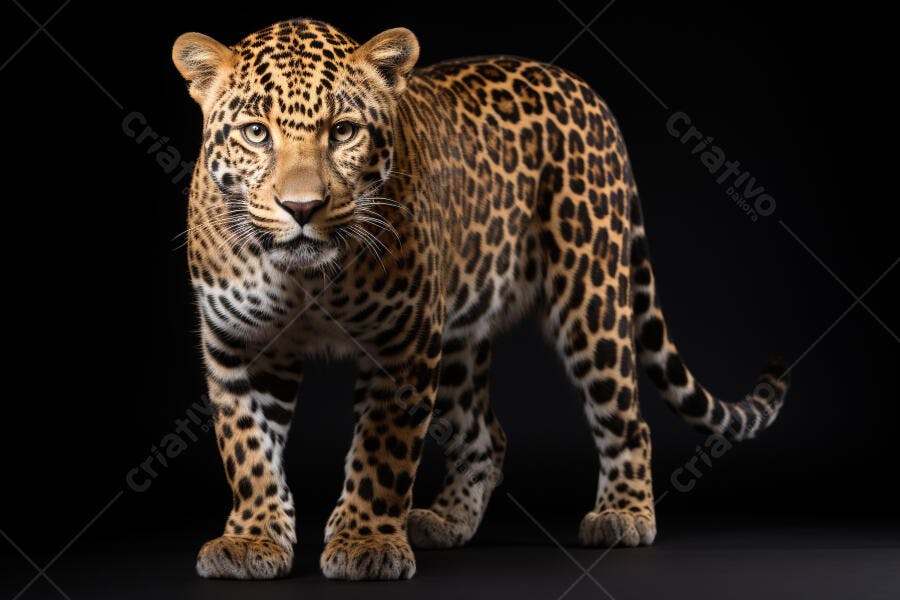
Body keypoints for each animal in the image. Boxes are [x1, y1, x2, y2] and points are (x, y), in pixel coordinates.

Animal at [171, 18, 789, 581]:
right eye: (256, 133)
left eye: (343, 131)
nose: (302, 208)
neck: (304, 277)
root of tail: (582, 88)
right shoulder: (243, 348)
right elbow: (248, 450)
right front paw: (252, 539)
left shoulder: (403, 345)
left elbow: (381, 452)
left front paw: (367, 543)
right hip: (460, 335)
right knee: (485, 436)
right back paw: (446, 520)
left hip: (591, 296)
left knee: (626, 417)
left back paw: (623, 514)